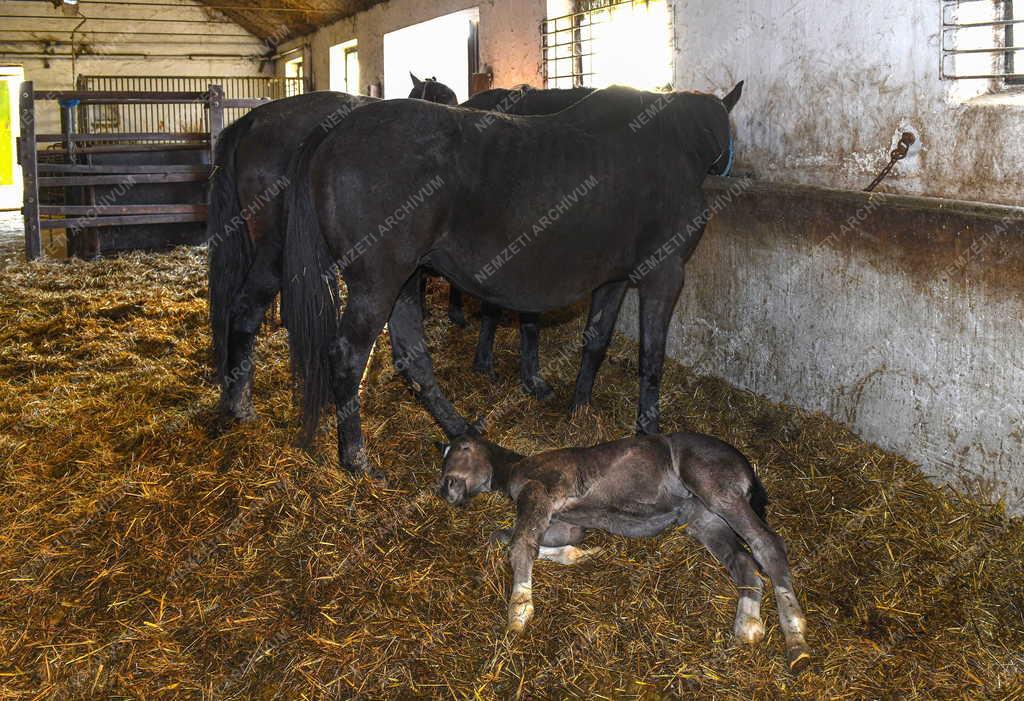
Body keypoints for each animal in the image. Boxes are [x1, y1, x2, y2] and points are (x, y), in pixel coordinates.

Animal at [282, 81, 745, 474]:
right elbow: (652, 358)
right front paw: (649, 432)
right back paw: (356, 459)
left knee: (412, 356)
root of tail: (338, 130)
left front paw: (579, 408)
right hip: (378, 282)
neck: (673, 143)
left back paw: (460, 431)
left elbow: (595, 342)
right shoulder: (663, 275)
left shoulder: (613, 280)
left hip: (404, 281)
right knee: (347, 356)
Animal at [440, 429, 815, 671]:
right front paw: (582, 555)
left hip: (716, 489)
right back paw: (748, 627)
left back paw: (796, 642)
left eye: (460, 450)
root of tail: (746, 464)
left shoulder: (540, 492)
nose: (445, 489)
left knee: (766, 544)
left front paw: (519, 613)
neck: (517, 468)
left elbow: (521, 545)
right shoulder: (565, 523)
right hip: (705, 520)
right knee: (744, 562)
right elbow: (506, 538)